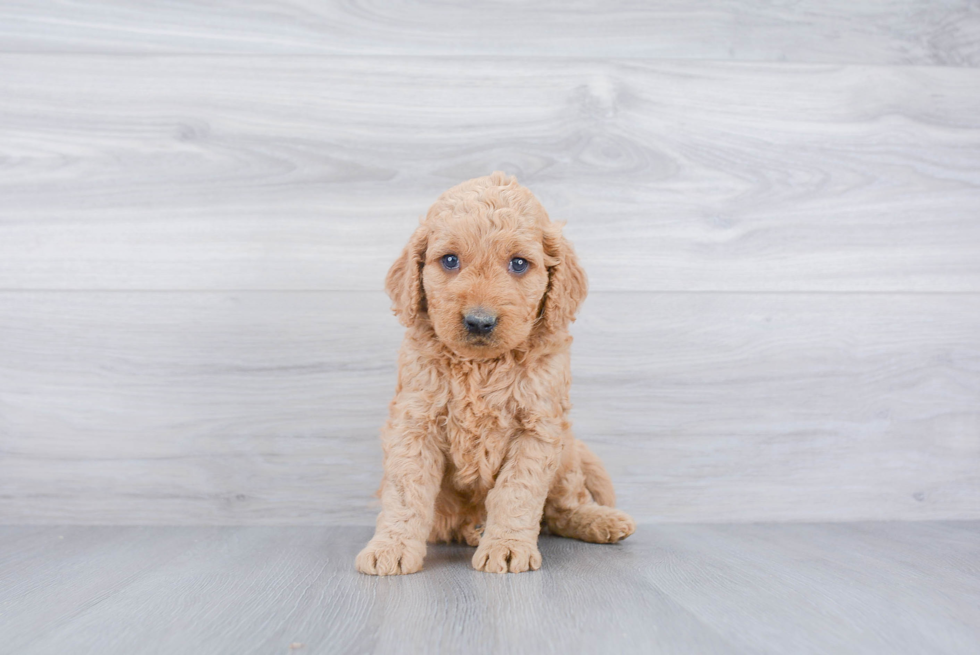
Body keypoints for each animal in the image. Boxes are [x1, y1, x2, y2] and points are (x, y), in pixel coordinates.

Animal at [354, 170, 636, 576]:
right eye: (450, 260)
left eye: (518, 264)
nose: (479, 321)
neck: (481, 366)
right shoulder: (414, 423)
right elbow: (406, 492)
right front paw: (390, 546)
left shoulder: (537, 429)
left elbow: (517, 492)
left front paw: (506, 546)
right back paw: (474, 530)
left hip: (567, 454)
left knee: (563, 508)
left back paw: (600, 520)